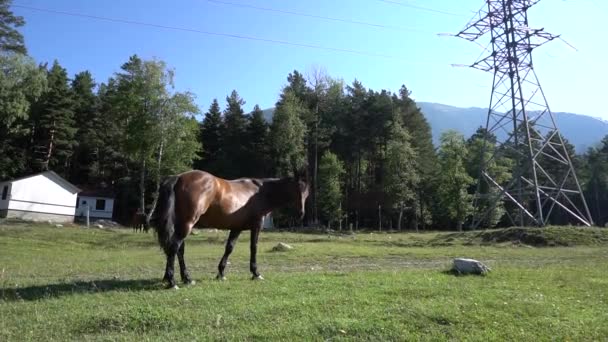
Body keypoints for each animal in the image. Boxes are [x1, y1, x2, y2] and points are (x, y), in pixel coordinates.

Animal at [148, 168, 308, 288]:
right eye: (296, 189)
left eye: (306, 192)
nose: (301, 213)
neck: (260, 193)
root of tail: (178, 177)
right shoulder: (256, 226)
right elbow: (253, 248)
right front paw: (256, 273)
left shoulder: (236, 228)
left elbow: (229, 248)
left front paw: (221, 274)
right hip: (187, 224)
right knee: (174, 247)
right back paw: (172, 281)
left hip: (182, 225)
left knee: (179, 250)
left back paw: (186, 278)